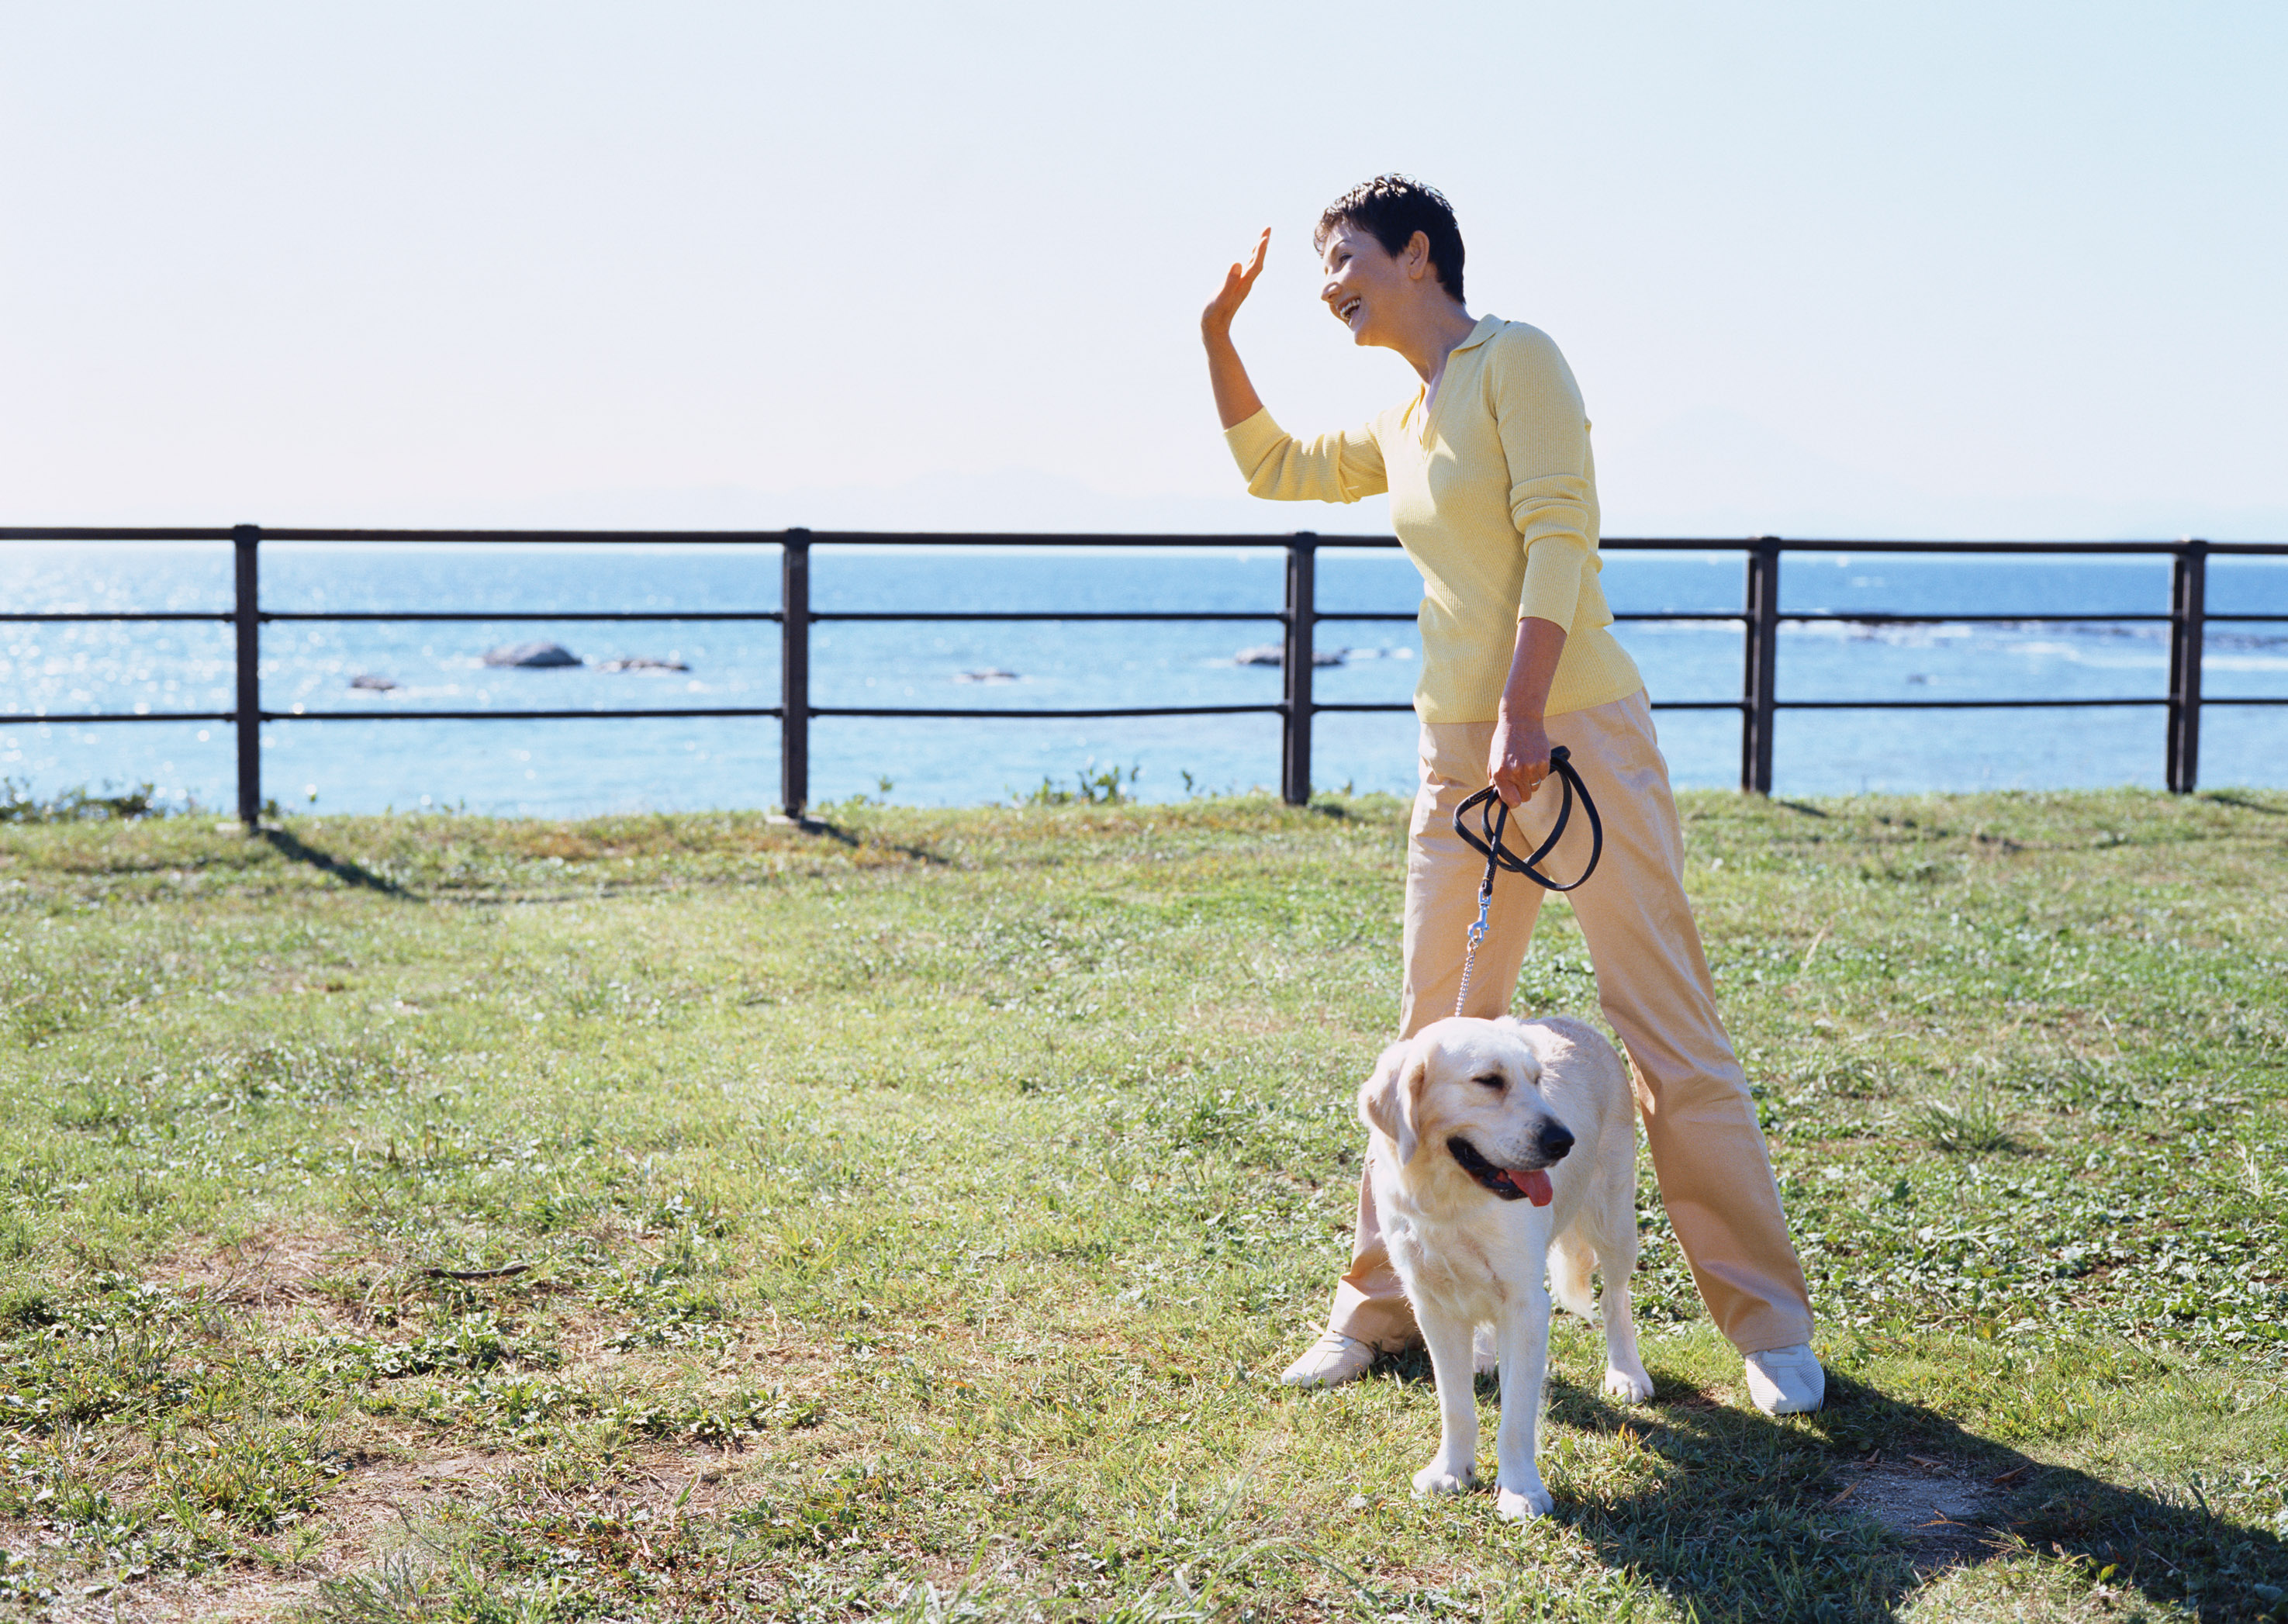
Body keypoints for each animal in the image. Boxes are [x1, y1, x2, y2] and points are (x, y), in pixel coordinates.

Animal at [1345, 1015, 1656, 1528]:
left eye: (1537, 1080)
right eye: (1489, 1081)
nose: (1563, 1142)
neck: (1452, 1203)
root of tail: (1580, 1025)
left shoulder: (1527, 1306)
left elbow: (1516, 1414)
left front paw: (1519, 1490)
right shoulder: (1432, 1305)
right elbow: (1455, 1404)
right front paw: (1451, 1471)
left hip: (1613, 1222)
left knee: (1616, 1300)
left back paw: (1626, 1373)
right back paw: (1483, 1357)